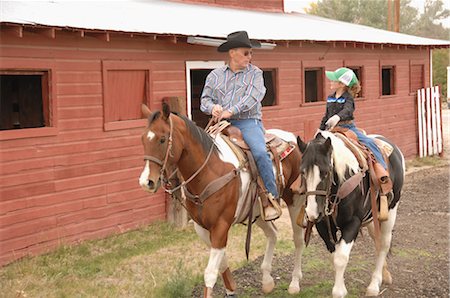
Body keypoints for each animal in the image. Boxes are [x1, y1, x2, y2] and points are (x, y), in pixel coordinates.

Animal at [139, 103, 304, 296]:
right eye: (143, 140)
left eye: (163, 139)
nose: (146, 182)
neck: (209, 171)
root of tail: (292, 137)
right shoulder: (202, 228)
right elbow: (222, 262)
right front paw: (231, 288)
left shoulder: (221, 225)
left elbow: (210, 273)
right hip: (258, 211)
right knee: (272, 233)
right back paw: (267, 280)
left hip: (295, 200)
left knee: (298, 239)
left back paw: (294, 283)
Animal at [298, 132, 406, 296]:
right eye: (302, 172)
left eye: (325, 172)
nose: (312, 212)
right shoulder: (323, 226)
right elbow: (334, 255)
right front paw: (341, 287)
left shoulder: (352, 223)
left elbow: (341, 257)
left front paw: (338, 291)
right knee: (377, 240)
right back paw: (384, 275)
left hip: (391, 211)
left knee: (383, 244)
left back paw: (374, 284)